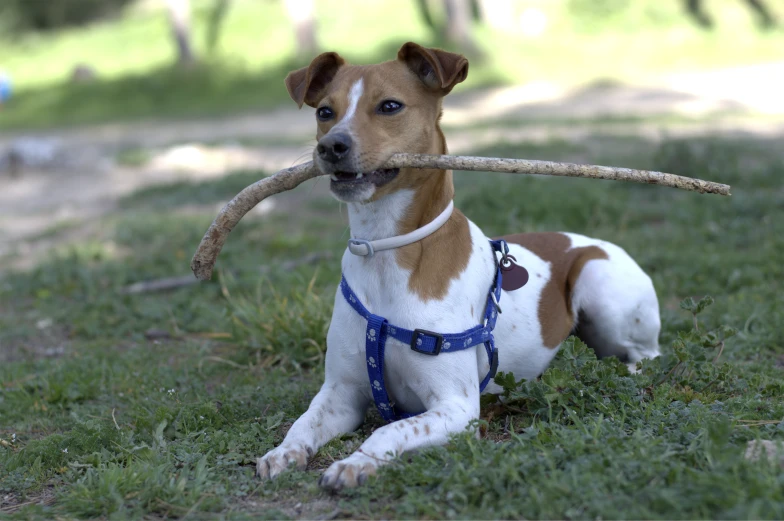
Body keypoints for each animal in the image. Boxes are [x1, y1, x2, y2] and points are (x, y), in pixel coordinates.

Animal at [258, 42, 660, 490]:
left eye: (390, 106)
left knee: (647, 354)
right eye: (325, 112)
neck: (385, 252)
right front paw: (282, 452)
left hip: (597, 280)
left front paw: (357, 462)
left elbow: (390, 428)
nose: (331, 146)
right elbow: (304, 422)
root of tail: (597, 242)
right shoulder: (342, 393)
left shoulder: (455, 407)